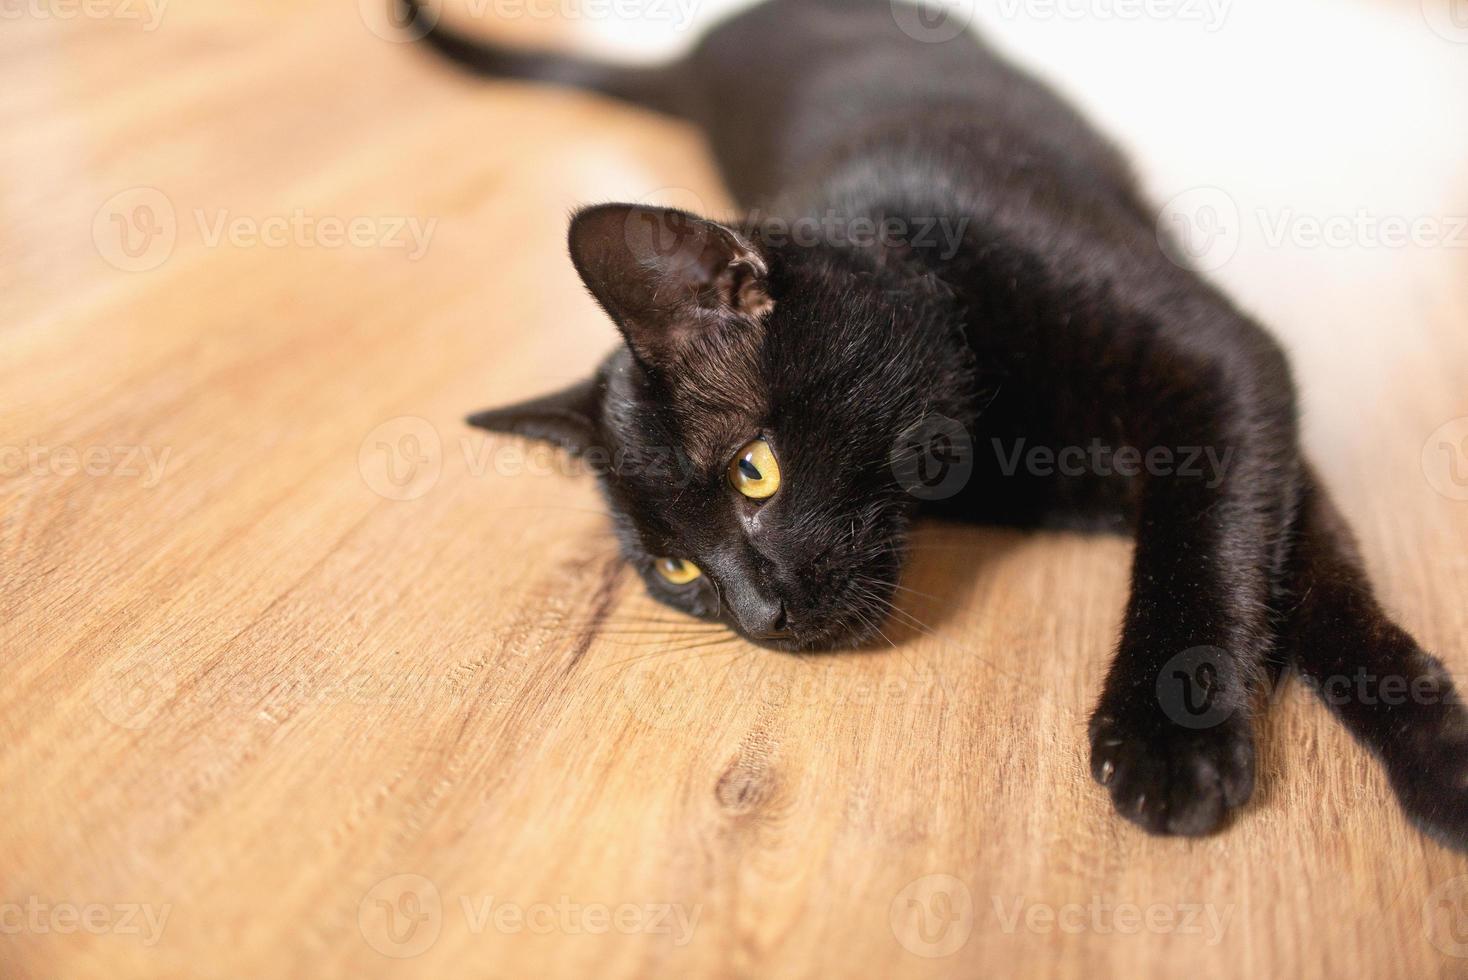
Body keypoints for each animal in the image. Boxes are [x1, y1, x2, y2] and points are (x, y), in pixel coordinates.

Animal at [396, 0, 1468, 845]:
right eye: (678, 573)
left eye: (753, 471)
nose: (757, 618)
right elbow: (1288, 564)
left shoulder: (1226, 366)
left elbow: (1233, 552)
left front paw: (1180, 733)